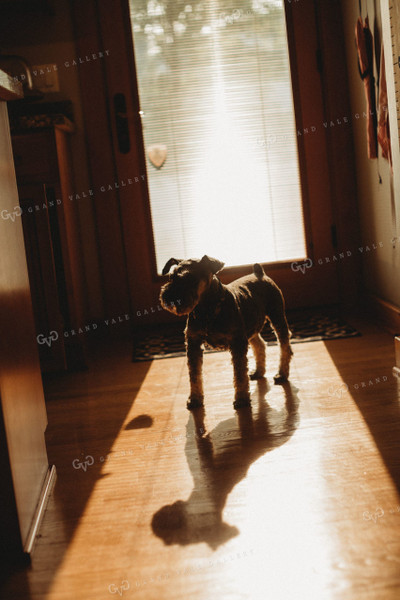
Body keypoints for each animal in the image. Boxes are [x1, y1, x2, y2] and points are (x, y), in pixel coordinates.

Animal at [159, 255, 294, 410]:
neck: (206, 310)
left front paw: (241, 399)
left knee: (285, 346)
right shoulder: (193, 343)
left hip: (277, 317)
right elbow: (194, 375)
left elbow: (240, 373)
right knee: (260, 345)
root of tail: (260, 273)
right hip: (251, 328)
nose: (169, 297)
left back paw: (282, 374)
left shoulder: (237, 342)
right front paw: (195, 399)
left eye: (191, 278)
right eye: (171, 277)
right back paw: (259, 372)